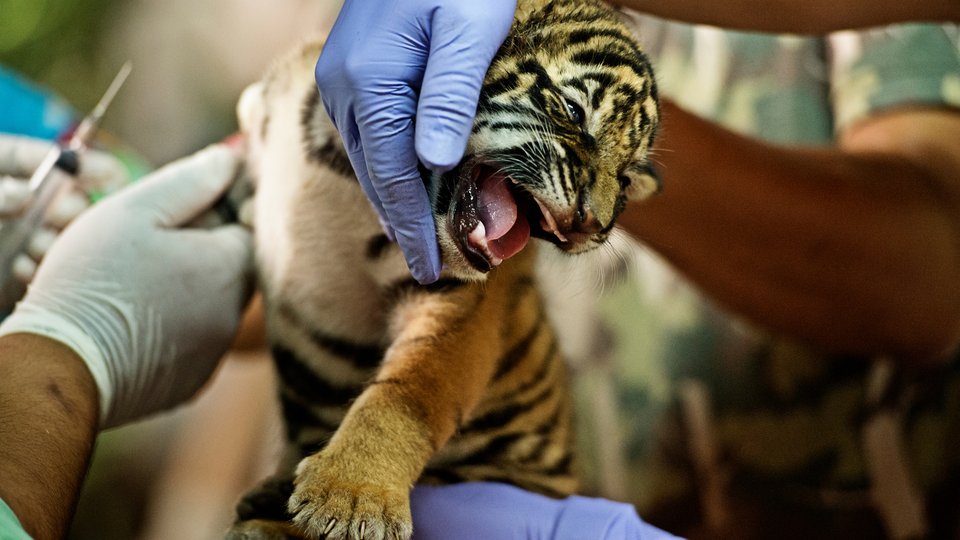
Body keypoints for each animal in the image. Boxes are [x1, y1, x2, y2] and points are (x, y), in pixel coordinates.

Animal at [226, 0, 660, 538]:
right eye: (574, 113)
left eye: (625, 181)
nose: (591, 224)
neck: (340, 167)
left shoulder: (455, 307)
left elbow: (402, 399)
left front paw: (352, 496)